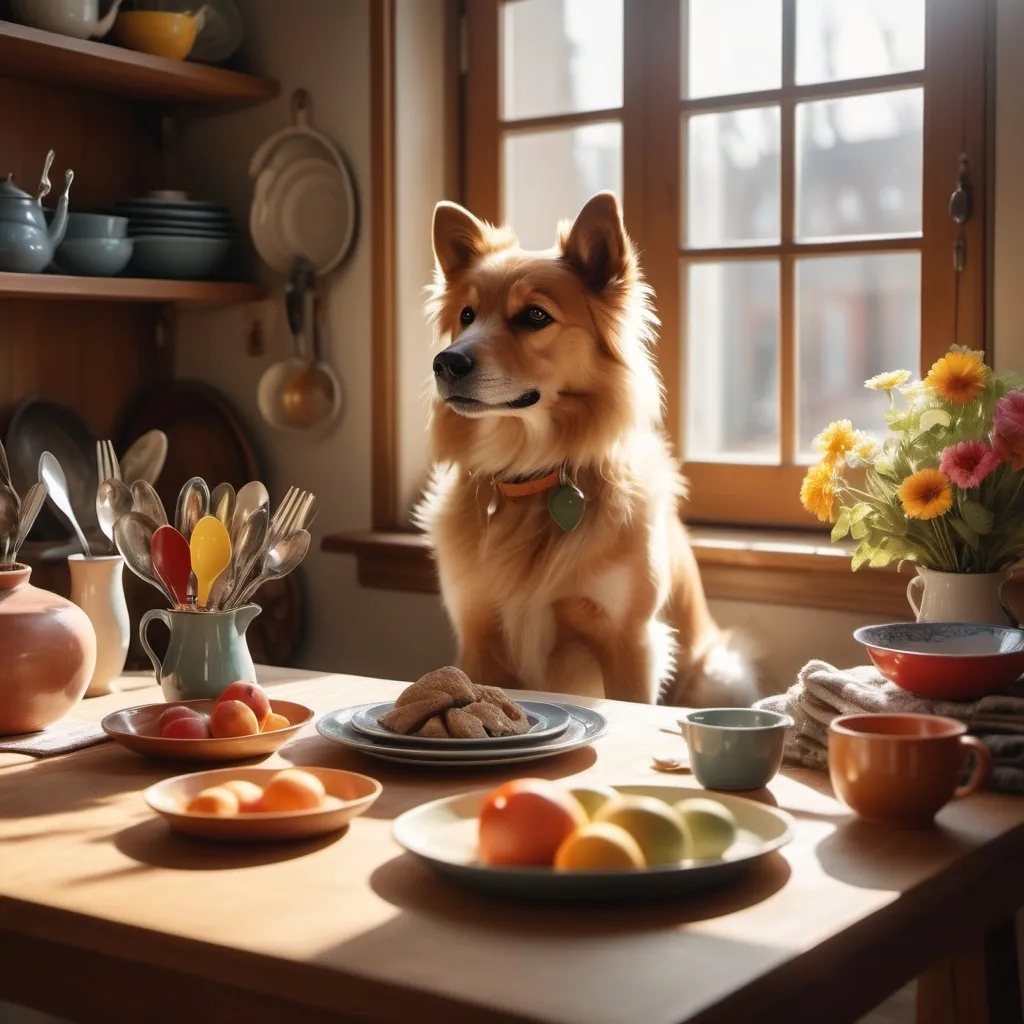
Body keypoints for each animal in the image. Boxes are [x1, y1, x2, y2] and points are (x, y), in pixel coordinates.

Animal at [415, 190, 761, 704]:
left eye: (535, 315)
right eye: (466, 316)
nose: (446, 363)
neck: (531, 470)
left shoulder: (631, 641)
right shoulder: (478, 635)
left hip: (719, 675)